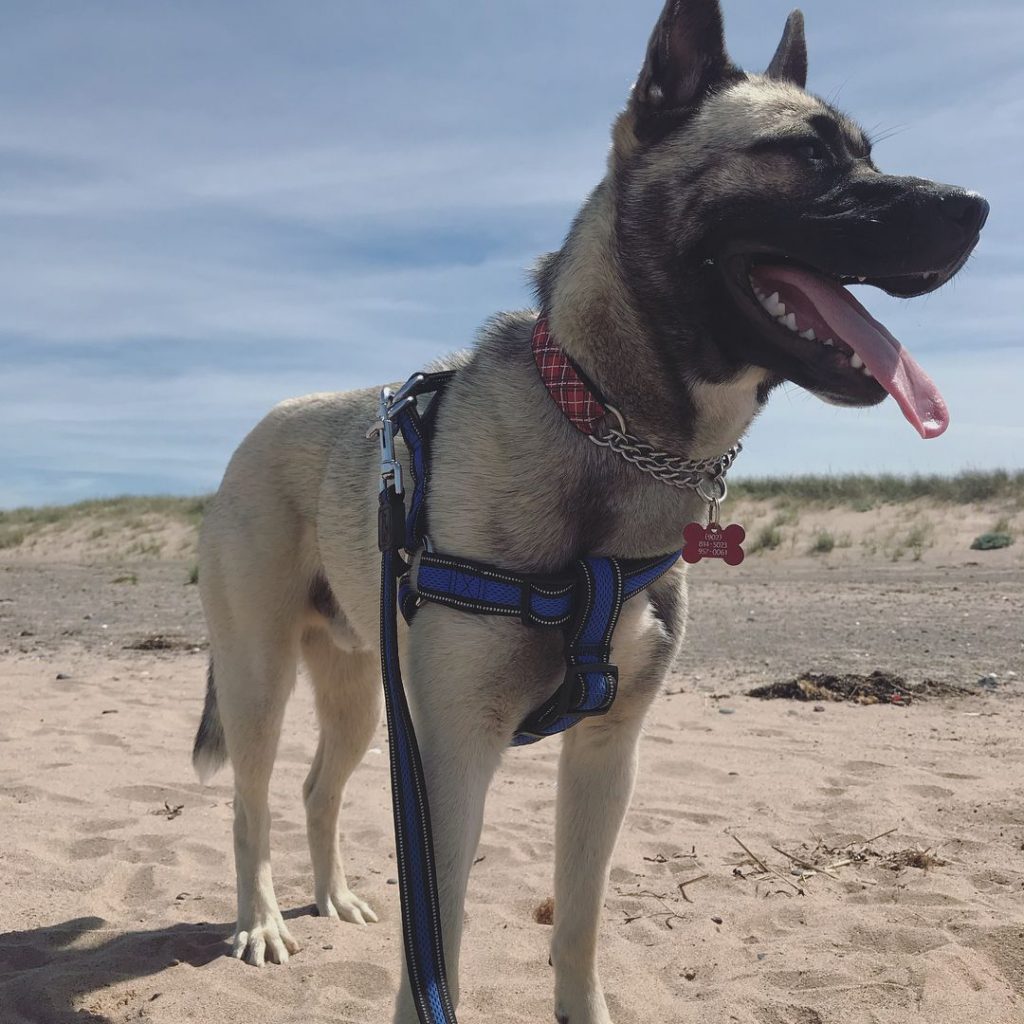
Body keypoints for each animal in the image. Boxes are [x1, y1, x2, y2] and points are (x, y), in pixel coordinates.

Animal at [192, 4, 983, 1019]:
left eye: (866, 153)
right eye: (805, 154)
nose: (976, 208)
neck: (602, 417)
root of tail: (262, 425)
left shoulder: (607, 753)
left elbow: (578, 922)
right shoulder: (455, 759)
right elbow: (435, 954)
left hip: (365, 693)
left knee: (316, 789)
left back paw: (331, 896)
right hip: (260, 679)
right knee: (250, 801)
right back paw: (260, 922)